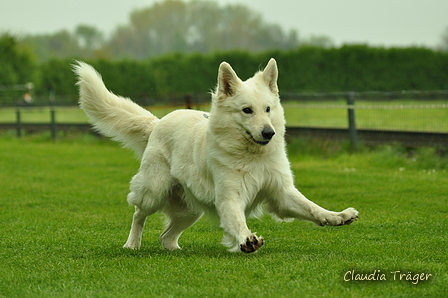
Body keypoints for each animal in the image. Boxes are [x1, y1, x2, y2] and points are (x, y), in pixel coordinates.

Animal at [75, 59, 358, 253]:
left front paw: (338, 216)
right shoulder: (230, 198)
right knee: (138, 215)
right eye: (247, 110)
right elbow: (238, 221)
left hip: (190, 210)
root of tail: (158, 122)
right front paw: (246, 241)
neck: (251, 155)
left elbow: (312, 208)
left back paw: (174, 249)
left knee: (166, 236)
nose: (269, 133)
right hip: (153, 192)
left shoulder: (282, 193)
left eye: (268, 109)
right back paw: (132, 244)